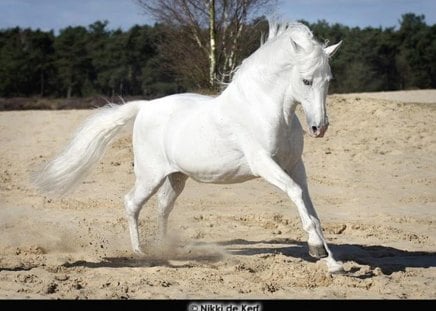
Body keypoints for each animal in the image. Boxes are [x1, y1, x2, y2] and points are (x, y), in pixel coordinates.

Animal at [35, 21, 344, 272]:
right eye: (306, 80)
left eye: (329, 80)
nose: (319, 128)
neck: (266, 109)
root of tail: (144, 107)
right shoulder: (264, 164)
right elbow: (296, 194)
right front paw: (318, 251)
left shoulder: (295, 166)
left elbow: (311, 209)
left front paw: (331, 262)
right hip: (149, 176)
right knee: (132, 202)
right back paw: (140, 252)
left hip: (176, 177)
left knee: (162, 208)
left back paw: (164, 249)